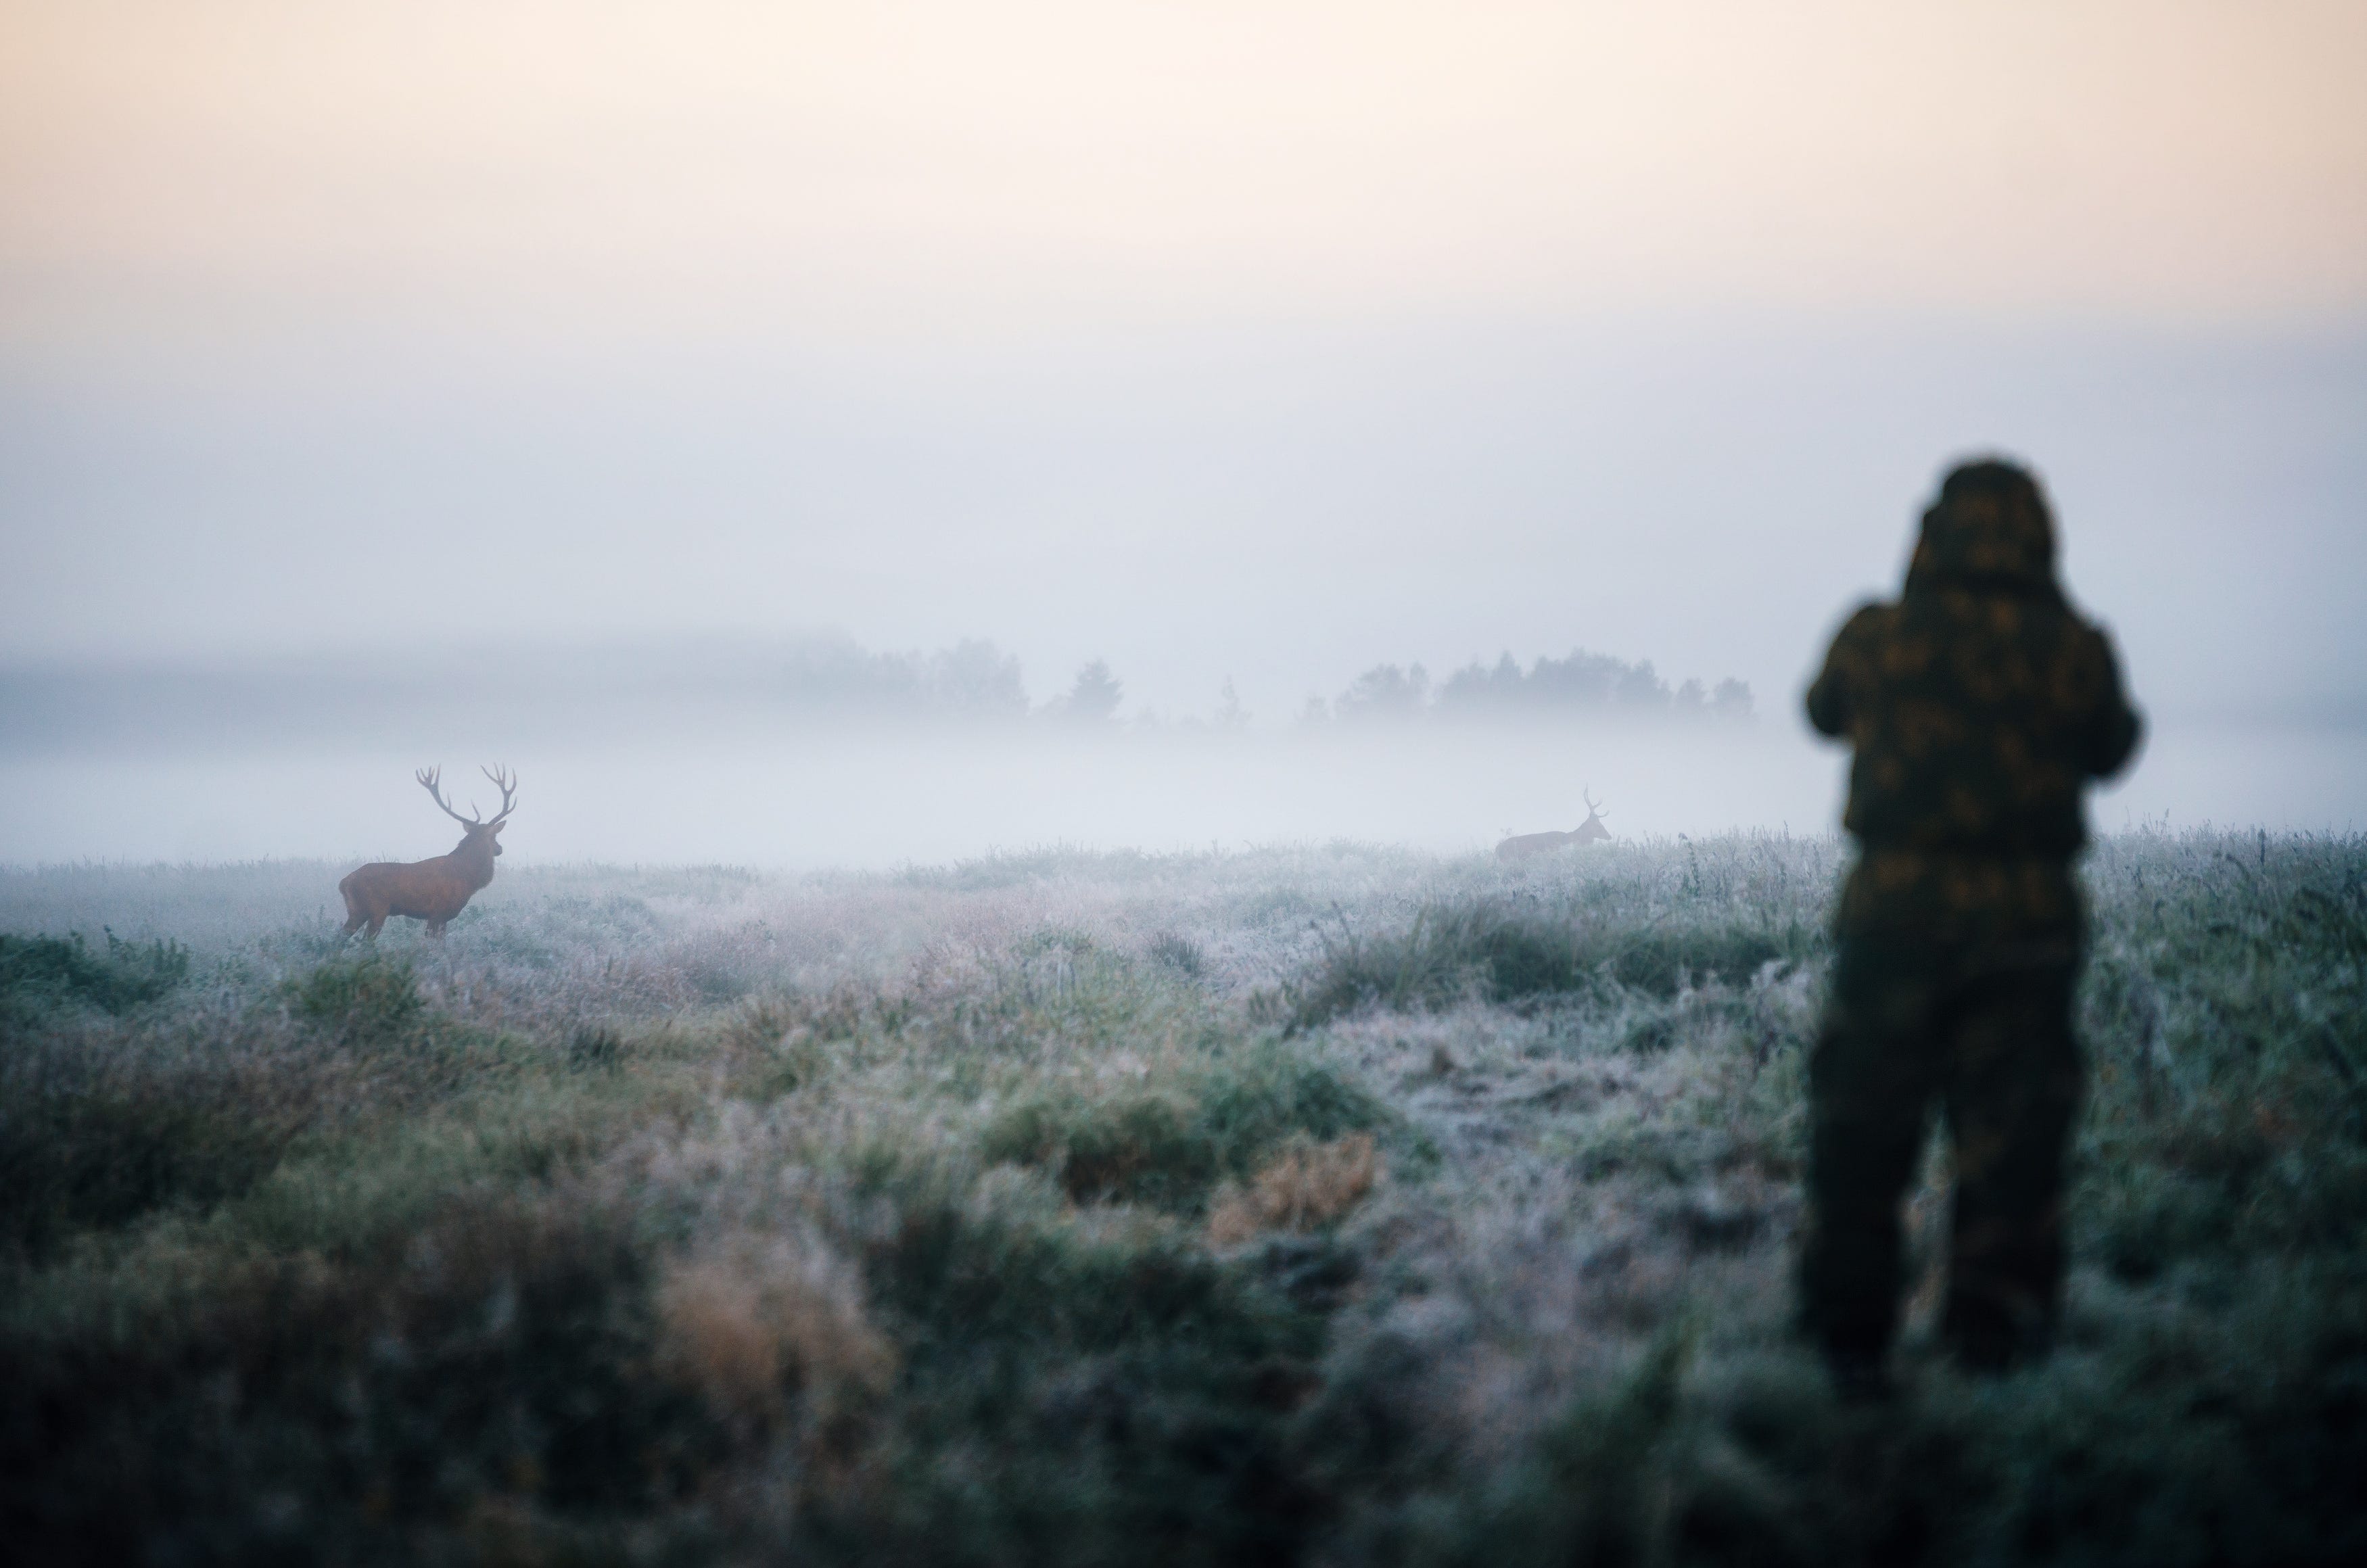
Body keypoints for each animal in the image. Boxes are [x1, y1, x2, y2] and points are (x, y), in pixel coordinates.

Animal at [333, 761, 513, 936]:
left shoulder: (442, 917)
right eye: (493, 837)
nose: (499, 849)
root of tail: (343, 883)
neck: (468, 877)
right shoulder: (438, 912)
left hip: (359, 911)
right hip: (374, 909)